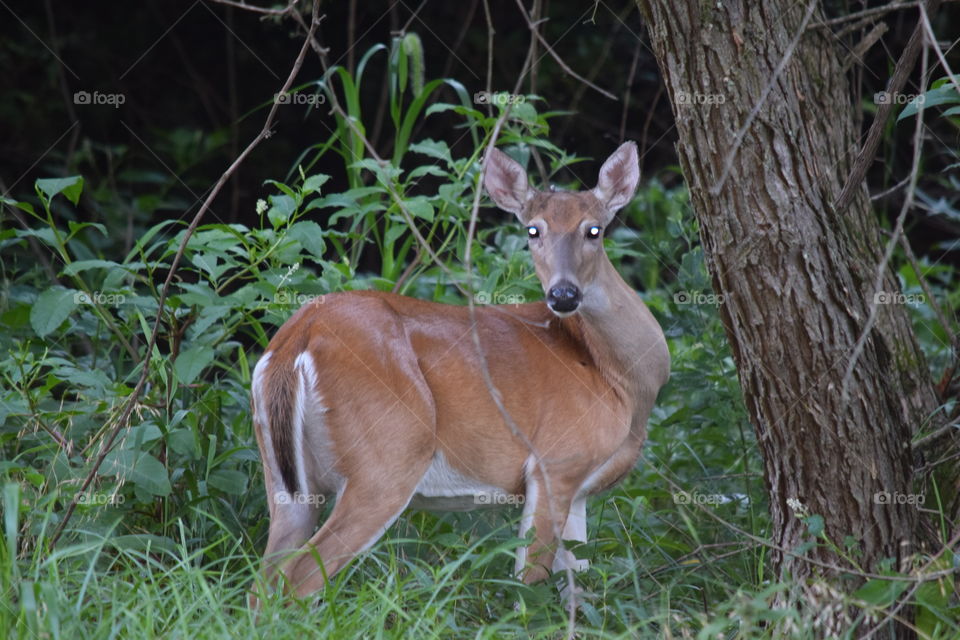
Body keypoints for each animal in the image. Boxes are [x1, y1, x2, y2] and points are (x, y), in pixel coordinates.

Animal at [249, 141, 670, 604]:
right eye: (533, 230)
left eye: (594, 230)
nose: (563, 294)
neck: (620, 382)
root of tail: (300, 335)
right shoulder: (555, 461)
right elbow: (529, 583)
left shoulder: (578, 491)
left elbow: (578, 589)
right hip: (385, 457)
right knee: (297, 579)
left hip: (285, 482)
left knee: (261, 583)